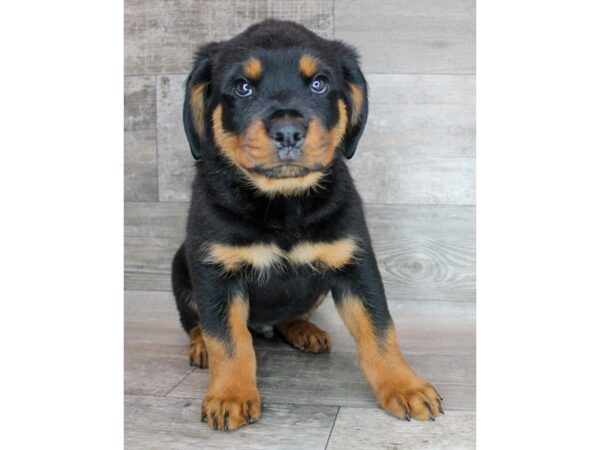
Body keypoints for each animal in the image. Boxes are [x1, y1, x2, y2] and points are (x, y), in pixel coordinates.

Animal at [171, 19, 442, 430]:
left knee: (291, 315)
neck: (284, 202)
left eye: (319, 83)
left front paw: (405, 385)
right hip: (180, 268)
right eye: (242, 87)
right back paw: (201, 345)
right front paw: (230, 394)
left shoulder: (355, 264)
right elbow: (228, 341)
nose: (288, 131)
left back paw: (303, 330)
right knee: (199, 323)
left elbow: (380, 329)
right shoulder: (215, 271)